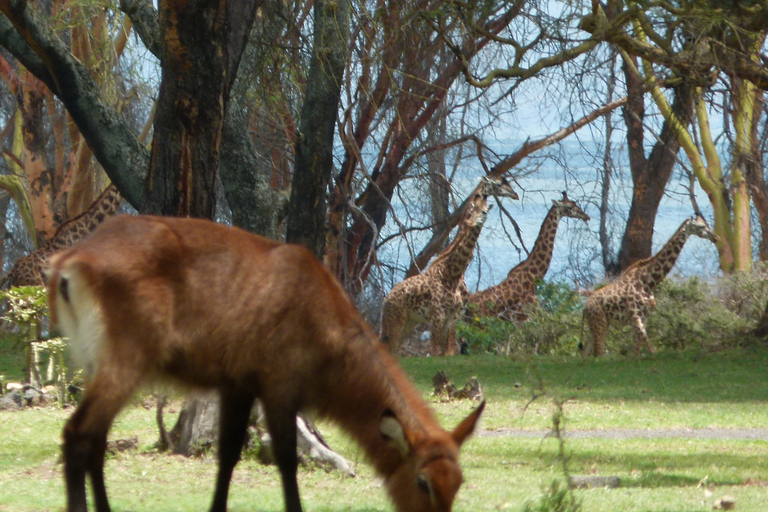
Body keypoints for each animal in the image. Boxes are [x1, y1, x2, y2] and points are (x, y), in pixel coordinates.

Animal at [45, 215, 484, 512]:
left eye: (459, 482)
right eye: (423, 482)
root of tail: (68, 261)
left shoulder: (237, 385)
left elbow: (228, 456)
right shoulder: (277, 386)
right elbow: (287, 462)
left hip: (99, 366)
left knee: (95, 440)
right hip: (126, 364)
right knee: (76, 433)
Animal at [380, 176, 520, 356]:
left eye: (485, 212)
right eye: (499, 183)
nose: (515, 194)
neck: (451, 273)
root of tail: (386, 299)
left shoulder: (452, 315)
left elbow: (445, 352)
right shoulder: (438, 316)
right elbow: (437, 352)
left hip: (408, 321)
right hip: (397, 319)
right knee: (390, 348)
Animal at [462, 192, 588, 320]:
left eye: (574, 203)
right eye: (570, 207)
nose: (586, 216)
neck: (532, 278)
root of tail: (468, 309)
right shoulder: (528, 315)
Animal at [584, 214, 720, 358]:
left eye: (706, 224)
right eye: (701, 226)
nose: (716, 237)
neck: (648, 283)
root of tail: (585, 306)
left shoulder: (644, 317)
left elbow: (637, 348)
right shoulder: (635, 315)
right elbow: (647, 344)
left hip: (596, 325)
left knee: (585, 351)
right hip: (600, 323)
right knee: (598, 352)